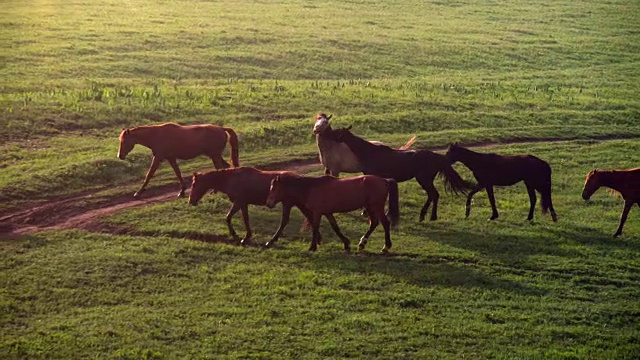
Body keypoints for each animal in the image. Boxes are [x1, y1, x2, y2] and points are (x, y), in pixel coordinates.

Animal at [189, 167, 344, 248]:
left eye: (194, 184)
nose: (191, 201)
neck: (231, 179)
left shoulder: (239, 202)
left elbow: (232, 218)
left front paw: (241, 237)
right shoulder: (242, 204)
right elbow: (238, 219)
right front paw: (243, 237)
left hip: (288, 204)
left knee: (285, 222)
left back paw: (271, 241)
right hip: (297, 204)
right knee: (310, 218)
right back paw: (318, 239)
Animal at [264, 174, 396, 253]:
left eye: (274, 188)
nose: (268, 203)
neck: (310, 187)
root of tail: (384, 180)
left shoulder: (317, 212)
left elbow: (315, 228)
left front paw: (312, 247)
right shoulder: (327, 213)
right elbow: (335, 227)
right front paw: (346, 244)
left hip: (376, 207)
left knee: (385, 223)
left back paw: (386, 247)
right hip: (370, 207)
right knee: (374, 223)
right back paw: (362, 243)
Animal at [324, 126, 470, 222]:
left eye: (336, 131)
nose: (326, 133)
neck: (370, 153)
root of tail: (436, 156)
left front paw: (366, 212)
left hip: (424, 180)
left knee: (433, 195)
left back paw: (426, 216)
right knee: (434, 195)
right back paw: (429, 216)